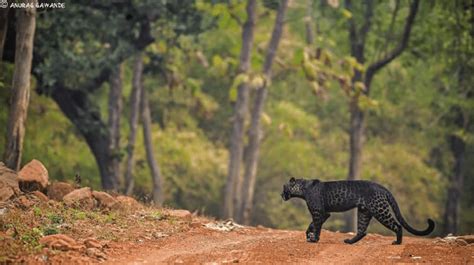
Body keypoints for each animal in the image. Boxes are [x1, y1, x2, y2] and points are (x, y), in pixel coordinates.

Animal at [280, 176, 436, 244]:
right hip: (364, 212)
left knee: (397, 225)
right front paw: (309, 235)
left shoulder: (319, 212)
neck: (302, 189)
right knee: (362, 230)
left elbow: (316, 225)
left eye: (284, 188)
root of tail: (381, 186)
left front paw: (314, 239)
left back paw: (397, 242)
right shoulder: (325, 213)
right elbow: (311, 225)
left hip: (380, 210)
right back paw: (349, 241)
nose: (281, 195)